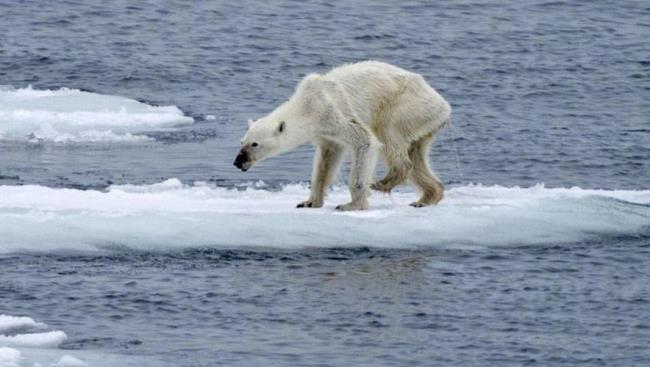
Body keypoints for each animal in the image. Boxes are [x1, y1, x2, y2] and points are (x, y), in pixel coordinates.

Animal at [233, 61, 450, 211]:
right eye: (242, 141)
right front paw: (309, 202)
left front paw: (351, 205)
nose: (238, 161)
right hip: (423, 121)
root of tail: (444, 105)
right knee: (416, 155)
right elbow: (326, 160)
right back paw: (426, 198)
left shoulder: (333, 112)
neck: (307, 105)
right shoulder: (324, 132)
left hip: (406, 105)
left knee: (389, 134)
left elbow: (365, 141)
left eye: (254, 144)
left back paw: (383, 182)